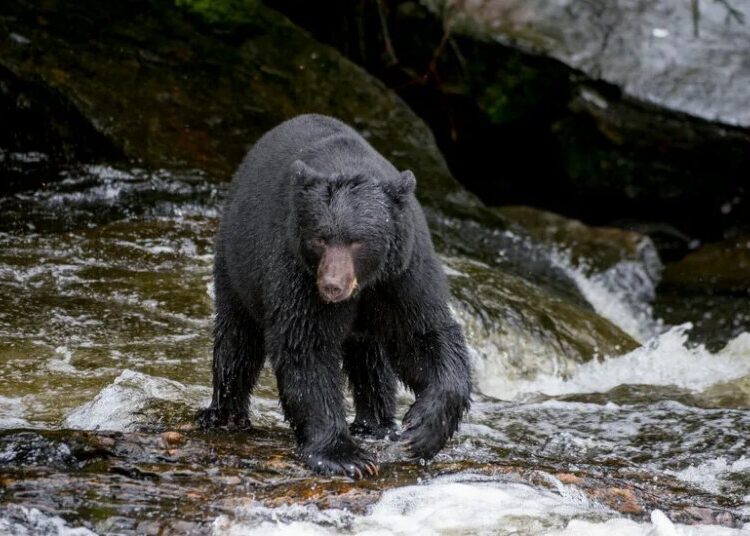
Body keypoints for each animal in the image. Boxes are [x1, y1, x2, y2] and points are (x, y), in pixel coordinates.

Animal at [198, 114, 472, 477]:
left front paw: (422, 431)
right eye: (320, 238)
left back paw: (376, 424)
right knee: (237, 339)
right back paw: (223, 414)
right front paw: (344, 456)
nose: (331, 286)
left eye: (357, 240)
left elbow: (423, 335)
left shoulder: (402, 272)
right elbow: (305, 345)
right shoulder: (296, 269)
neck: (365, 283)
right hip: (237, 261)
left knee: (371, 358)